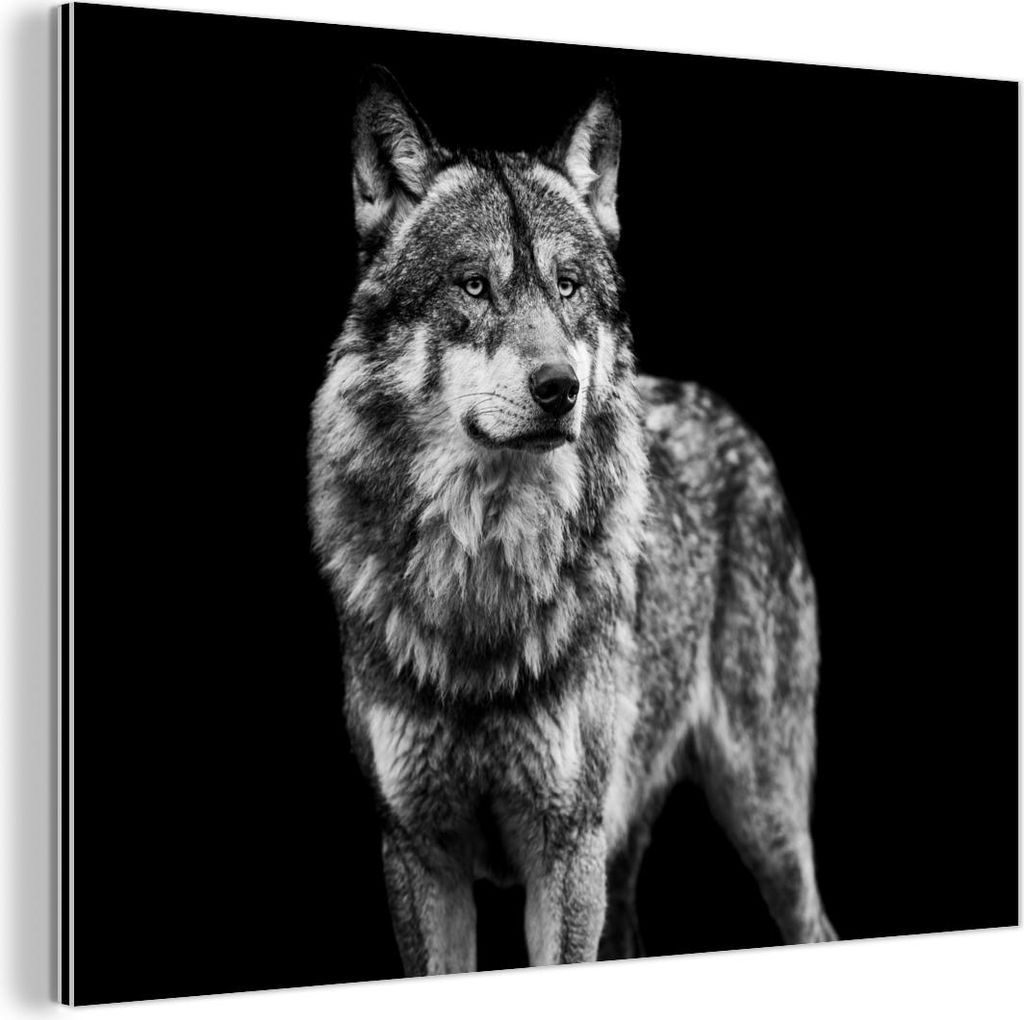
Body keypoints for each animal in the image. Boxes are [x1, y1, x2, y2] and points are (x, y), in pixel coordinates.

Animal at [308, 66, 836, 975]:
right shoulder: (418, 856)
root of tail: (734, 420)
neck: (484, 572)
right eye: (474, 285)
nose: (562, 389)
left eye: (567, 286)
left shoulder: (566, 849)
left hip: (760, 814)